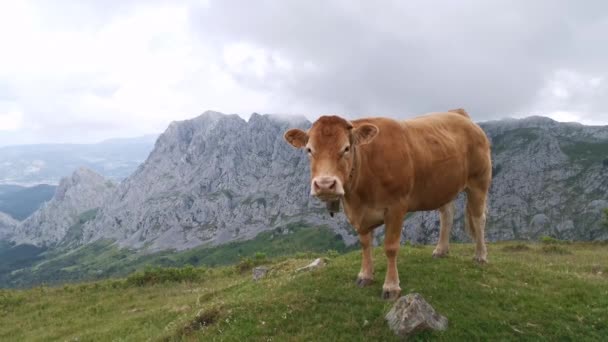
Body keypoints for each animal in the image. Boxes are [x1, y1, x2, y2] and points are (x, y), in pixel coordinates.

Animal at [286, 109, 494, 300]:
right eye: (309, 150)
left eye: (346, 148)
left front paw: (391, 286)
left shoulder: (396, 207)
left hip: (479, 182)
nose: (325, 184)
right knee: (447, 214)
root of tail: (459, 114)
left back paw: (481, 255)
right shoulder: (359, 214)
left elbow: (391, 247)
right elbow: (365, 244)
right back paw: (441, 250)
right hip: (443, 186)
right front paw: (365, 275)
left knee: (479, 219)